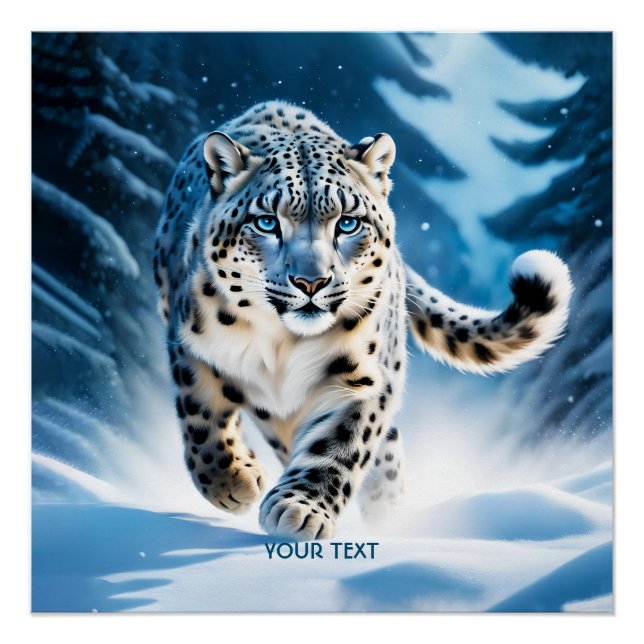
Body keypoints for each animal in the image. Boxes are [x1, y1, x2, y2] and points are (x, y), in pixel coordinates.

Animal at [153, 100, 572, 541]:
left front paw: (300, 509)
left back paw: (387, 507)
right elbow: (201, 418)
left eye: (347, 222)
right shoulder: (189, 346)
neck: (283, 344)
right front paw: (232, 482)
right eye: (267, 221)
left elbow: (343, 442)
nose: (311, 281)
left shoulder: (367, 376)